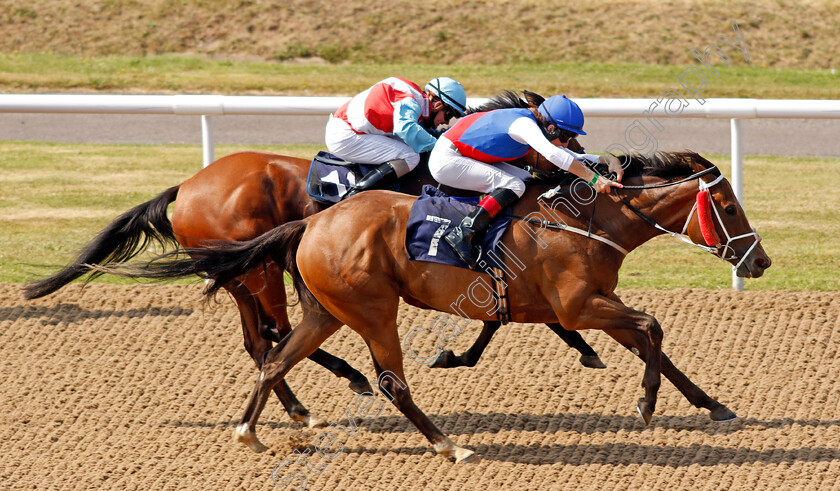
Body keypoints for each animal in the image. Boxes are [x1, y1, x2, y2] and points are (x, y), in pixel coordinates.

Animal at [23, 92, 604, 430]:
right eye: (561, 133)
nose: (580, 164)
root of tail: (186, 186)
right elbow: (528, 315)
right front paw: (585, 348)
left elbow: (506, 316)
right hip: (259, 271)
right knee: (273, 335)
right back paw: (338, 384)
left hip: (246, 276)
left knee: (261, 340)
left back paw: (304, 402)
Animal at [95, 150, 772, 462]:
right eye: (728, 206)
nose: (760, 260)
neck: (587, 217)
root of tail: (313, 224)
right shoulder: (579, 305)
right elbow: (650, 327)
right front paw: (646, 404)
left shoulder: (589, 302)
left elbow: (649, 337)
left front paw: (711, 404)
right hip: (366, 308)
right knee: (383, 378)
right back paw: (449, 445)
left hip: (323, 309)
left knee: (274, 355)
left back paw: (254, 430)